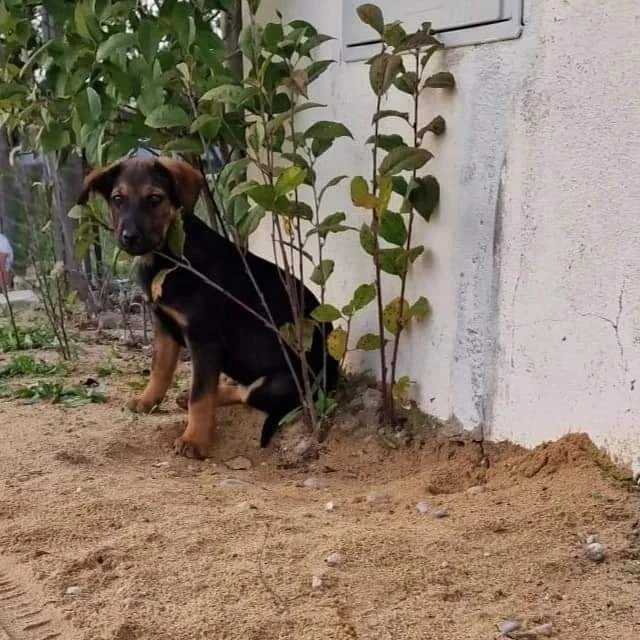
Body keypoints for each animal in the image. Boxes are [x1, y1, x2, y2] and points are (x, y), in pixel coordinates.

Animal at [79, 160, 340, 460]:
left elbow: (201, 394)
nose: (129, 238)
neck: (170, 257)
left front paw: (195, 440)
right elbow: (160, 369)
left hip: (280, 383)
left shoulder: (204, 339)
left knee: (245, 394)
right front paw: (148, 401)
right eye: (117, 199)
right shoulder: (164, 326)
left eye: (155, 199)